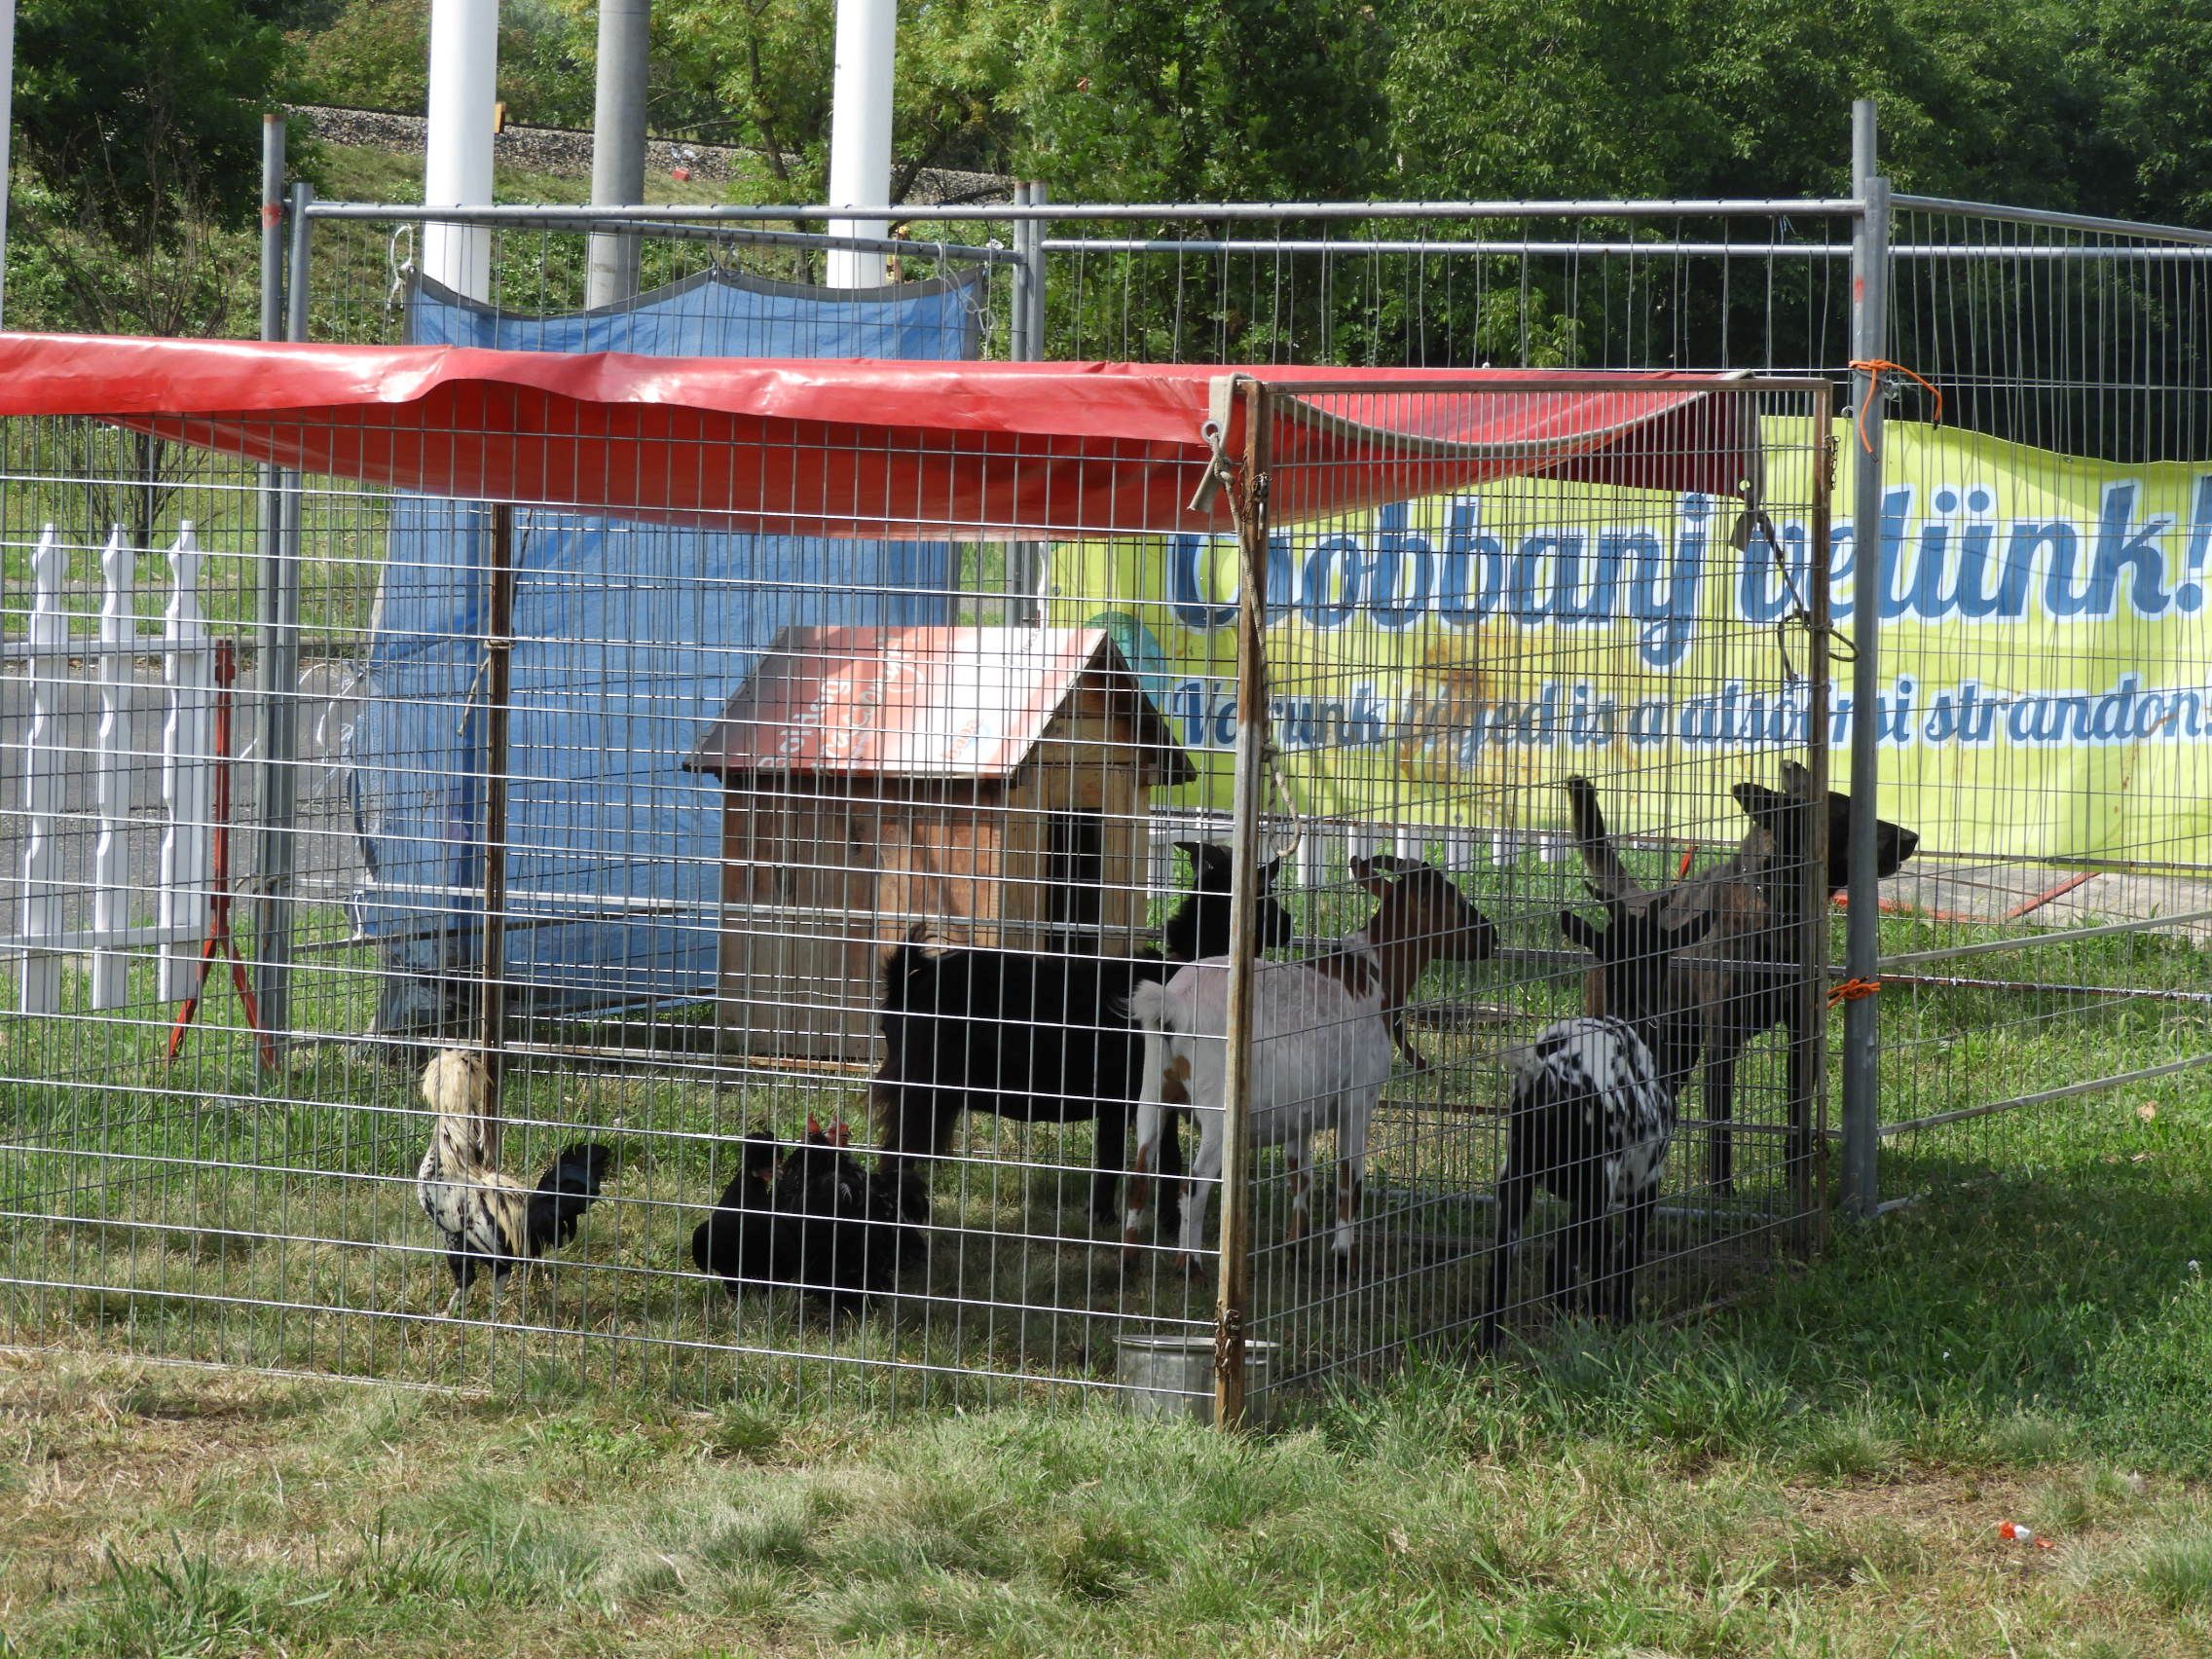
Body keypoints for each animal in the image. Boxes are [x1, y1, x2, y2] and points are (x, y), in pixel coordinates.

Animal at [416, 1057, 614, 1318]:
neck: (451, 1156)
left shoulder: (453, 1234)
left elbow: (463, 1282)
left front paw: (446, 1313)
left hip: (482, 1243)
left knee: (500, 1272)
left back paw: (493, 1313)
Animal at [866, 844, 1291, 1221]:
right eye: (1263, 895)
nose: (1287, 925)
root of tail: (905, 983)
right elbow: (1157, 1158)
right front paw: (1160, 1222)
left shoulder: (1126, 1098)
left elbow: (1119, 1156)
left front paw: (1104, 1216)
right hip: (921, 1087)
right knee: (896, 1154)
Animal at [1124, 858, 1503, 1273]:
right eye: (1452, 899)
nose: (1491, 934)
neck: (1372, 974)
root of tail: (1172, 1002)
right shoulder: (1358, 1100)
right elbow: (1349, 1178)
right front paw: (1343, 1256)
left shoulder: (1298, 1113)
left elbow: (1300, 1175)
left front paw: (1295, 1245)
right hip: (1217, 1114)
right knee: (1193, 1185)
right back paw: (1190, 1265)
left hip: (1151, 1090)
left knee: (1139, 1173)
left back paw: (1128, 1262)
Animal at [1477, 898, 1716, 1353]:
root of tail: (1547, 1075)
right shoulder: (1644, 1181)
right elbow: (1626, 1252)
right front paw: (1620, 1318)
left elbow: (1604, 1250)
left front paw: (1600, 1312)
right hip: (1593, 1178)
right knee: (1560, 1261)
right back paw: (1569, 1335)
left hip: (1517, 1174)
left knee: (1501, 1260)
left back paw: (1490, 1347)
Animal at [1566, 765, 1911, 1194]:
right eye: (1846, 817)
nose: (1913, 839)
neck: (1780, 913)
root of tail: (1634, 904)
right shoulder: (1722, 1044)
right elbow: (1720, 1125)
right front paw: (1721, 1193)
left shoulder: (1802, 1036)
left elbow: (1796, 1114)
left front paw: (1795, 1181)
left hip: (1677, 1050)